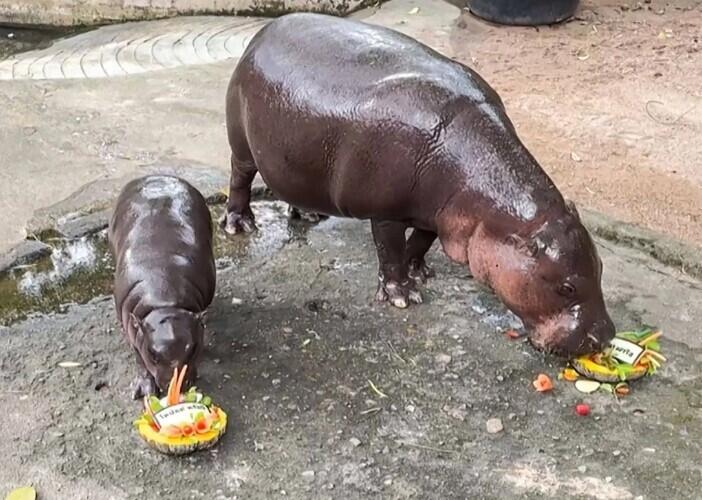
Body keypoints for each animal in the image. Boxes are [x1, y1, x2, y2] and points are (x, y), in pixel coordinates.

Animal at [109, 175, 216, 398]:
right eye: (153, 355)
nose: (174, 388)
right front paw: (144, 391)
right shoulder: (134, 327)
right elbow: (138, 357)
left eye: (193, 349)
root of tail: (157, 175)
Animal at [221, 13, 615, 356]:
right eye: (566, 286)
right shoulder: (386, 212)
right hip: (241, 144)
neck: (493, 207)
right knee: (240, 178)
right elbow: (390, 251)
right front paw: (403, 296)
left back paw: (307, 214)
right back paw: (240, 225)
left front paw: (420, 272)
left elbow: (421, 241)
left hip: (294, 157)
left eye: (600, 268)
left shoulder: (438, 212)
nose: (606, 337)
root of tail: (263, 32)